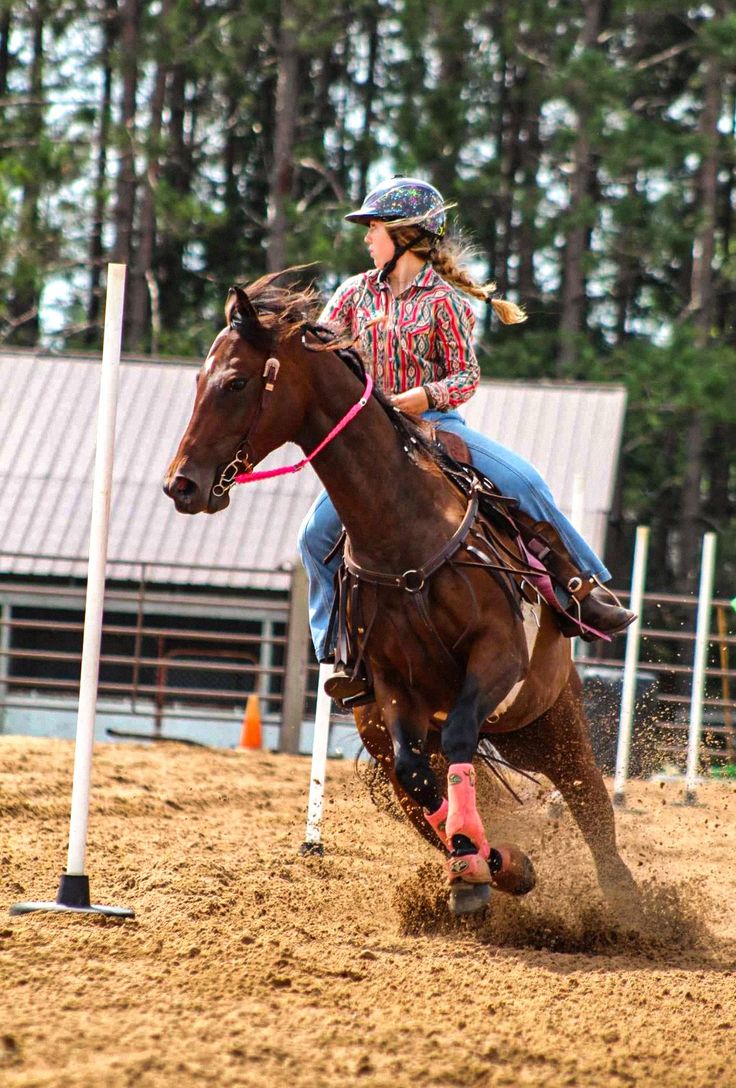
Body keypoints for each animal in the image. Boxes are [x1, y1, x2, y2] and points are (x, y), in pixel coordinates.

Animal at [162, 278, 640, 918]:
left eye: (237, 381)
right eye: (199, 379)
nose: (180, 485)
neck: (401, 527)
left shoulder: (498, 653)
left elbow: (462, 732)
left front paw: (485, 866)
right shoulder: (394, 688)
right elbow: (421, 775)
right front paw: (487, 866)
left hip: (550, 721)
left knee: (591, 806)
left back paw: (630, 906)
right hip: (409, 741)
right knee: (427, 790)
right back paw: (494, 862)